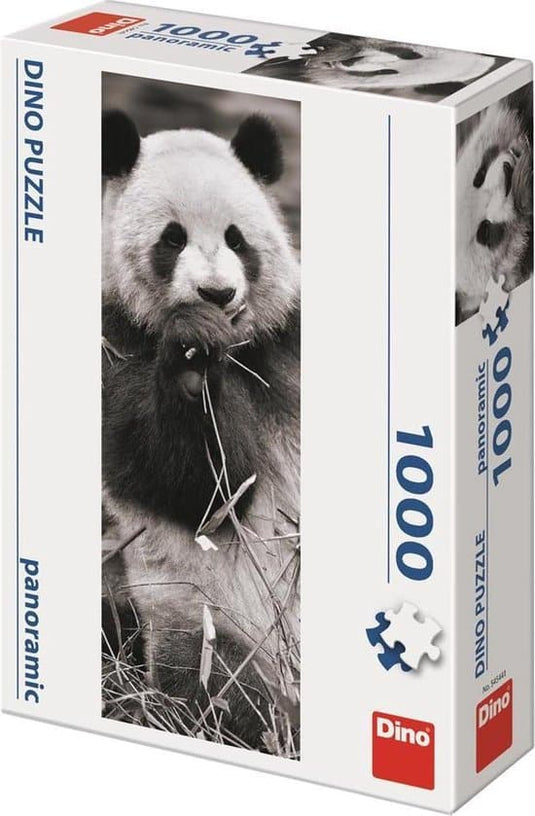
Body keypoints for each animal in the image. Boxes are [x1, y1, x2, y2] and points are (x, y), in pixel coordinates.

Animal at [101, 110, 300, 750]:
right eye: (172, 238)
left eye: (237, 238)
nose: (217, 293)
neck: (237, 349)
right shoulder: (114, 343)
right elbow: (201, 489)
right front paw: (191, 361)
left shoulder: (289, 341)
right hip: (206, 621)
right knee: (223, 694)